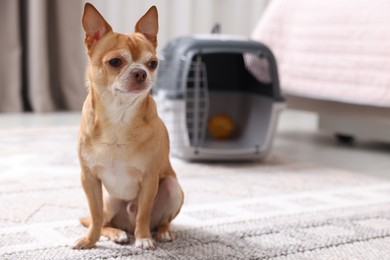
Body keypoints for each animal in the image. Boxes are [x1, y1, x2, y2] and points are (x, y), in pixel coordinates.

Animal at [73, 2, 184, 250]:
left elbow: (143, 213)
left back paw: (161, 232)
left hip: (173, 188)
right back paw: (115, 234)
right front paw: (89, 241)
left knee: (156, 219)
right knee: (104, 221)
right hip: (109, 201)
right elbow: (94, 215)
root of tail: (127, 224)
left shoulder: (150, 179)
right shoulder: (89, 179)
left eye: (153, 64)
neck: (119, 118)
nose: (141, 72)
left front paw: (143, 238)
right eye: (115, 62)